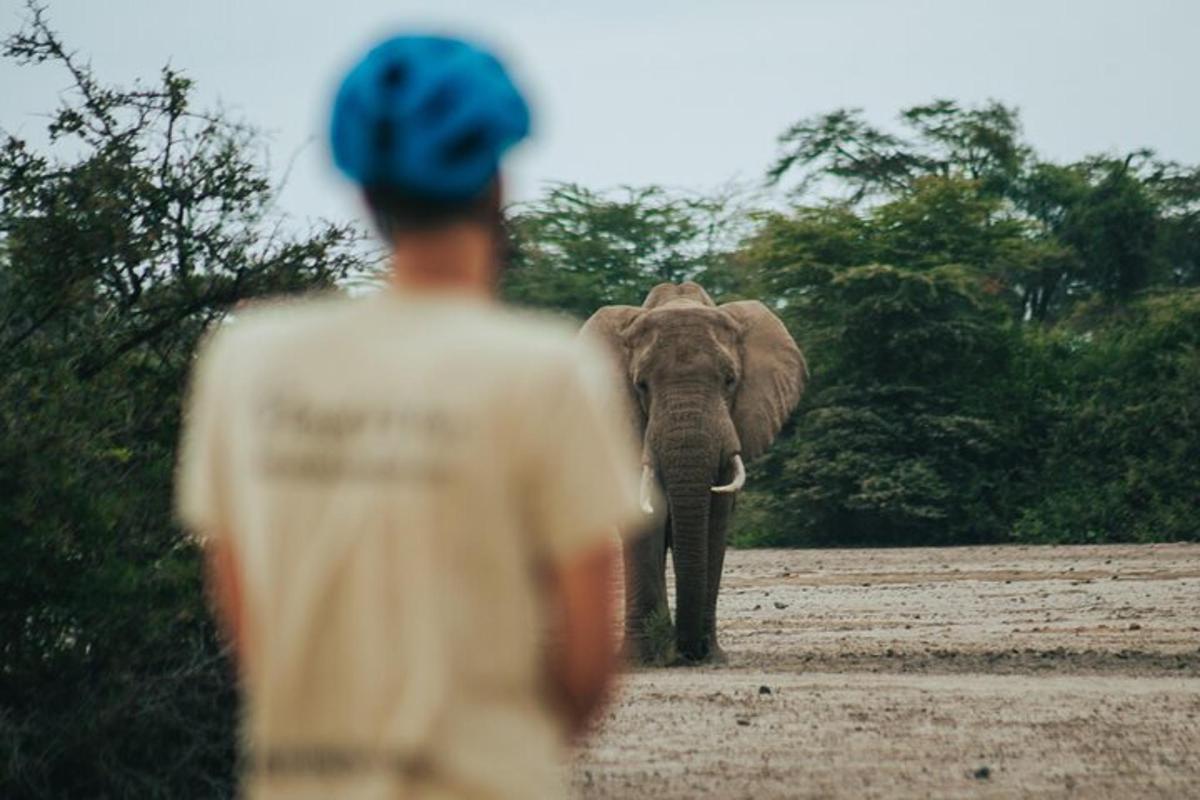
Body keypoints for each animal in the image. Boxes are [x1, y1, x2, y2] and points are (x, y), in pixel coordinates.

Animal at [580, 281, 806, 662]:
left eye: (730, 380)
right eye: (641, 385)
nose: (683, 652)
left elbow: (715, 519)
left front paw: (709, 655)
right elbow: (646, 522)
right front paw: (643, 658)